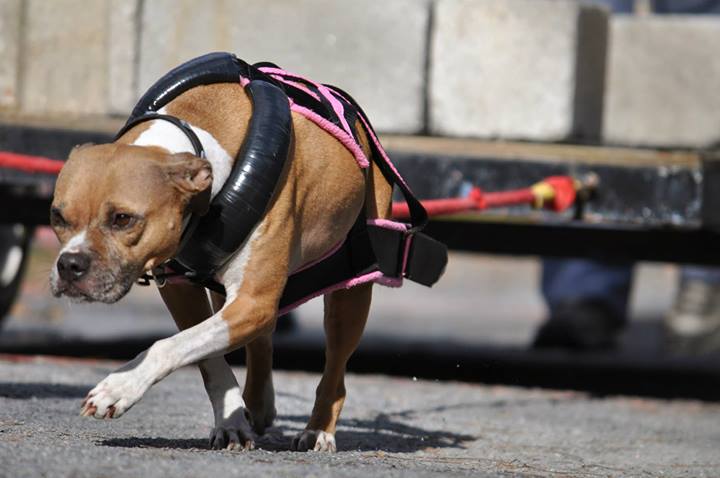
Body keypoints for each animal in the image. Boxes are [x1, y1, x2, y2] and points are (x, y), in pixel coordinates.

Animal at [49, 82, 394, 452]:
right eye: (57, 216)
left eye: (123, 219)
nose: (70, 264)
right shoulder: (188, 293)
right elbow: (203, 353)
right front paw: (231, 421)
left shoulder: (253, 301)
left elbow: (167, 345)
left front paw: (120, 387)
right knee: (261, 338)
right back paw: (258, 405)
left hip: (350, 294)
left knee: (334, 368)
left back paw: (318, 429)